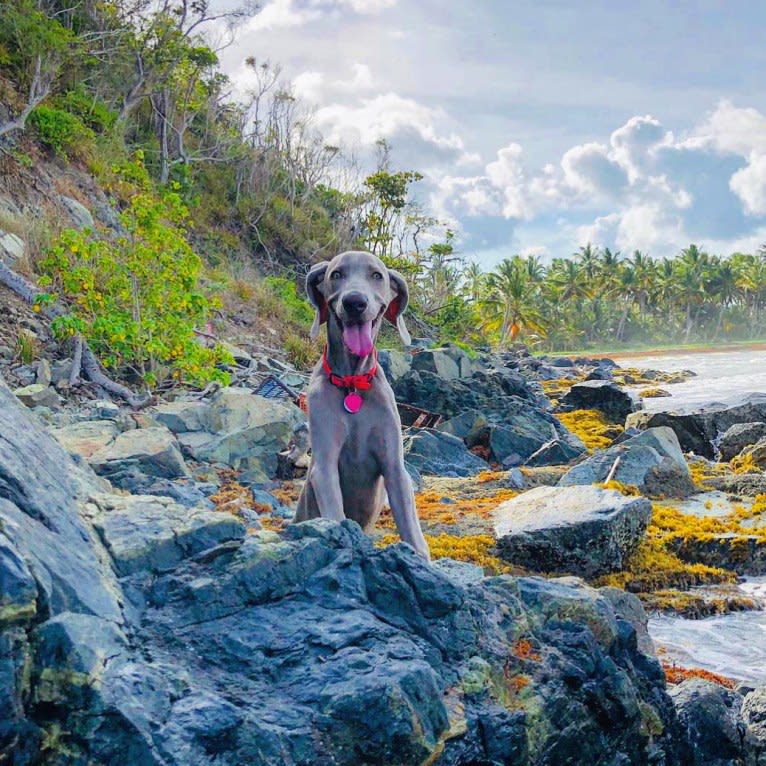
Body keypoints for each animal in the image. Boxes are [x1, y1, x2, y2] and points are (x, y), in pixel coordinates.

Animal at [294, 250, 428, 560]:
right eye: (336, 274)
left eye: (376, 275)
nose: (354, 302)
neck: (352, 382)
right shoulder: (325, 464)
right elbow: (335, 510)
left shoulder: (394, 465)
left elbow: (411, 528)